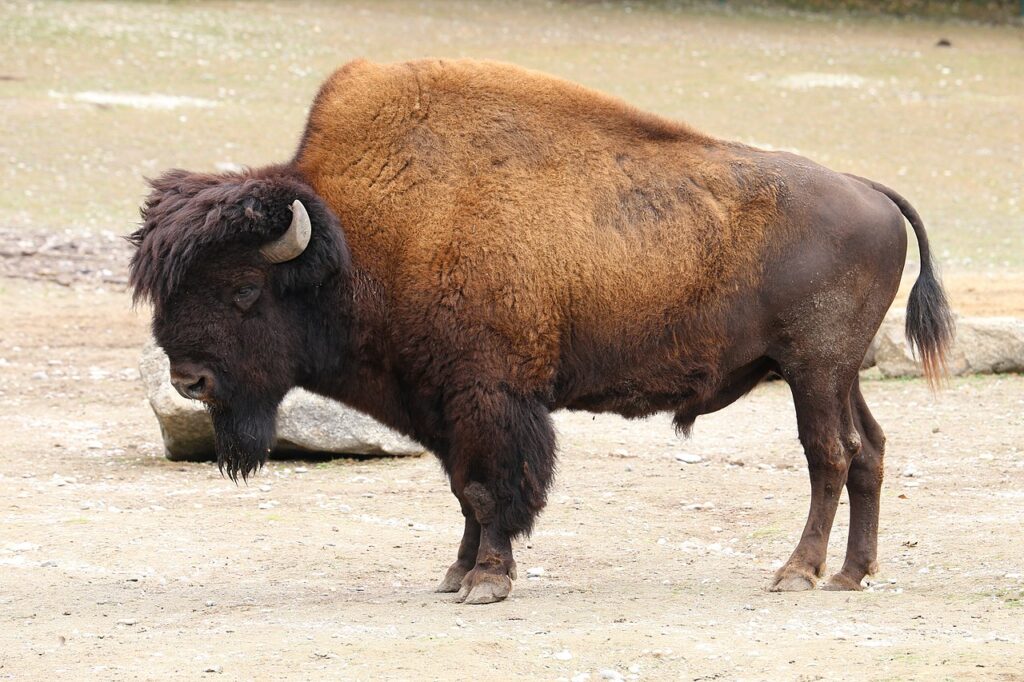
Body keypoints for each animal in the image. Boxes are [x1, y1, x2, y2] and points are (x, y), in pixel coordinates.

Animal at [128, 57, 950, 602]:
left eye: (243, 290)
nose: (188, 379)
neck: (360, 241)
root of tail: (869, 190)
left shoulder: (491, 398)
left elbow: (494, 489)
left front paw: (486, 583)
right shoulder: (442, 405)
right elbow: (464, 491)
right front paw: (455, 575)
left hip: (813, 369)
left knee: (829, 456)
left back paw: (797, 573)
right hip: (837, 373)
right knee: (870, 450)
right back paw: (851, 574)